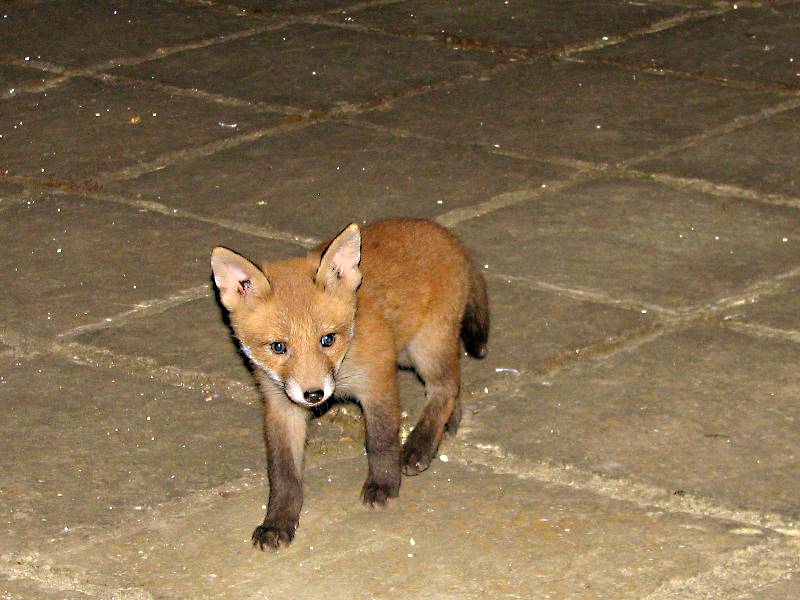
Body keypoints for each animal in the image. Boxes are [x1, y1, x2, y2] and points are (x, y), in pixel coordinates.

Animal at [210, 218, 489, 550]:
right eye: (278, 347)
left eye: (327, 339)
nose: (314, 394)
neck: (345, 362)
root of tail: (445, 234)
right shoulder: (281, 405)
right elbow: (283, 473)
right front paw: (278, 521)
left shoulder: (378, 380)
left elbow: (381, 441)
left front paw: (383, 484)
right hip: (409, 353)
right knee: (453, 384)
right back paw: (446, 425)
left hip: (425, 347)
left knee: (444, 389)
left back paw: (418, 446)